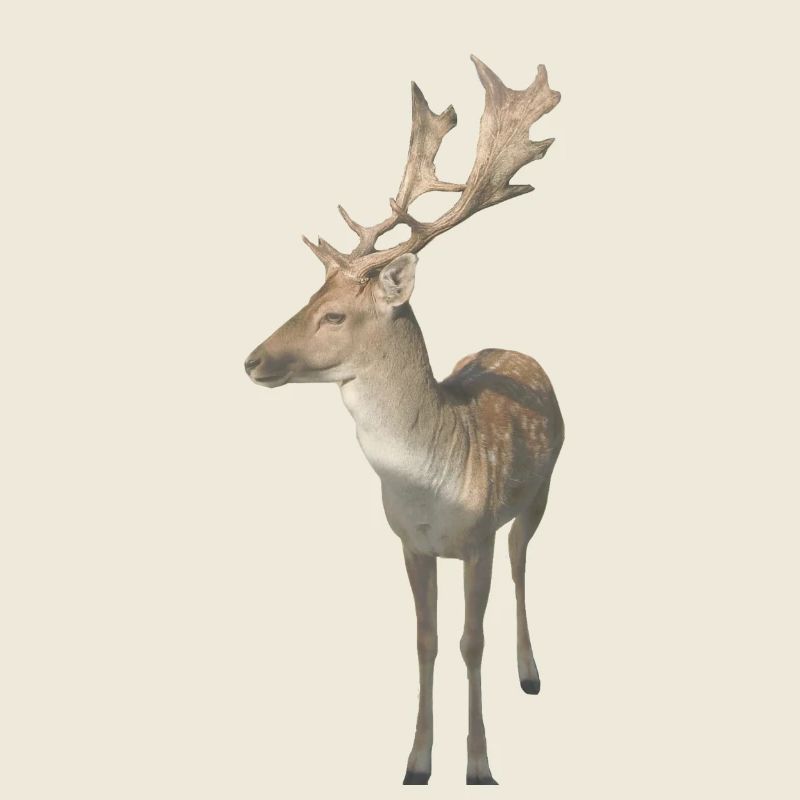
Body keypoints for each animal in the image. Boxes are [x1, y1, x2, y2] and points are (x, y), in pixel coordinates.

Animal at [245, 55, 564, 786]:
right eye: (308, 297)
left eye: (335, 314)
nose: (252, 359)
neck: (428, 489)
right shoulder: (408, 543)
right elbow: (425, 641)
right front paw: (417, 761)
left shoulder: (475, 538)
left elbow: (472, 641)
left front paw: (479, 764)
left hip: (542, 490)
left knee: (522, 563)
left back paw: (531, 673)